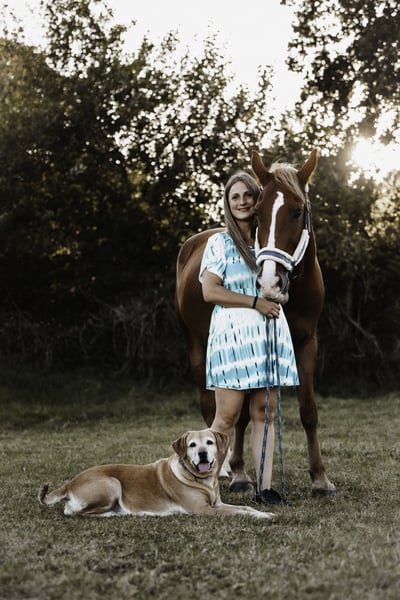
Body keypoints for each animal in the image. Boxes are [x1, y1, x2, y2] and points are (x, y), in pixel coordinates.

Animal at [38, 429, 273, 519]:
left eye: (209, 442)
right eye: (192, 445)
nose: (202, 454)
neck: (201, 480)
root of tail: (69, 483)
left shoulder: (217, 504)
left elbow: (244, 507)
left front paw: (263, 512)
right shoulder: (204, 510)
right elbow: (240, 512)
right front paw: (261, 516)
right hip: (112, 483)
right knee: (75, 512)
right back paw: (112, 513)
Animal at [175, 149, 336, 497]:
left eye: (297, 211)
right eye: (258, 214)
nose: (270, 283)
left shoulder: (308, 343)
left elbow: (308, 411)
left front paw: (320, 478)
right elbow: (236, 417)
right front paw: (238, 473)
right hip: (197, 347)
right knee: (211, 407)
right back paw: (224, 469)